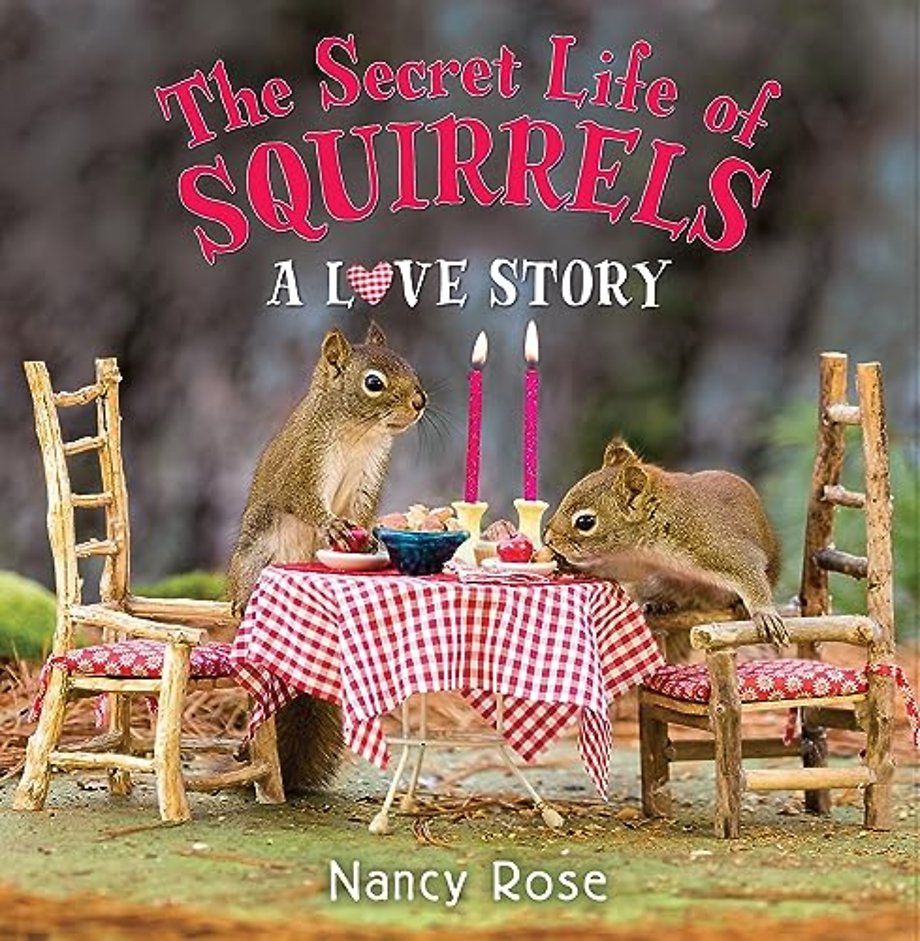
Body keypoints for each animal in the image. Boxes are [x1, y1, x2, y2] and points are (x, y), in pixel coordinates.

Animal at [227, 322, 427, 793]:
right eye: (373, 382)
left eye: (410, 365)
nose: (420, 401)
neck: (359, 433)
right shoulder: (303, 466)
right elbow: (303, 500)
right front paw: (331, 525)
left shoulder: (371, 475)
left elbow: (363, 513)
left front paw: (368, 538)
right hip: (255, 551)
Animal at [544, 437, 789, 646]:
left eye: (585, 522)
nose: (548, 539)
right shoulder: (640, 562)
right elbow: (617, 570)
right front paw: (569, 564)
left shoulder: (715, 544)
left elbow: (749, 573)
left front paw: (764, 613)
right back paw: (659, 603)